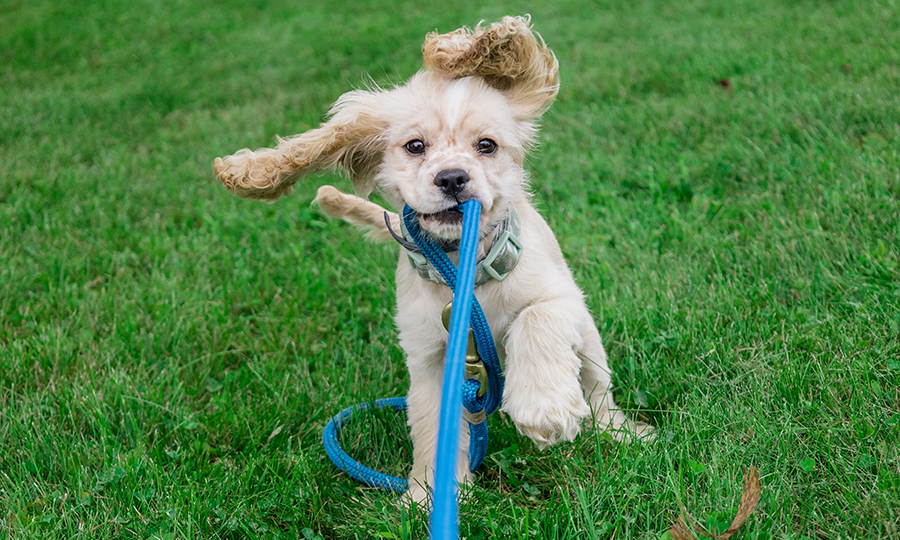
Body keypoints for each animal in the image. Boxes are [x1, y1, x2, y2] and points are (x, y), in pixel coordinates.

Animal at [218, 16, 652, 506]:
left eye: (487, 145)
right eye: (414, 146)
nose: (452, 178)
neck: (462, 267)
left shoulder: (561, 297)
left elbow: (535, 319)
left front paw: (544, 407)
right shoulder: (429, 357)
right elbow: (432, 427)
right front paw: (428, 494)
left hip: (591, 343)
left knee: (598, 393)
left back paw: (621, 432)